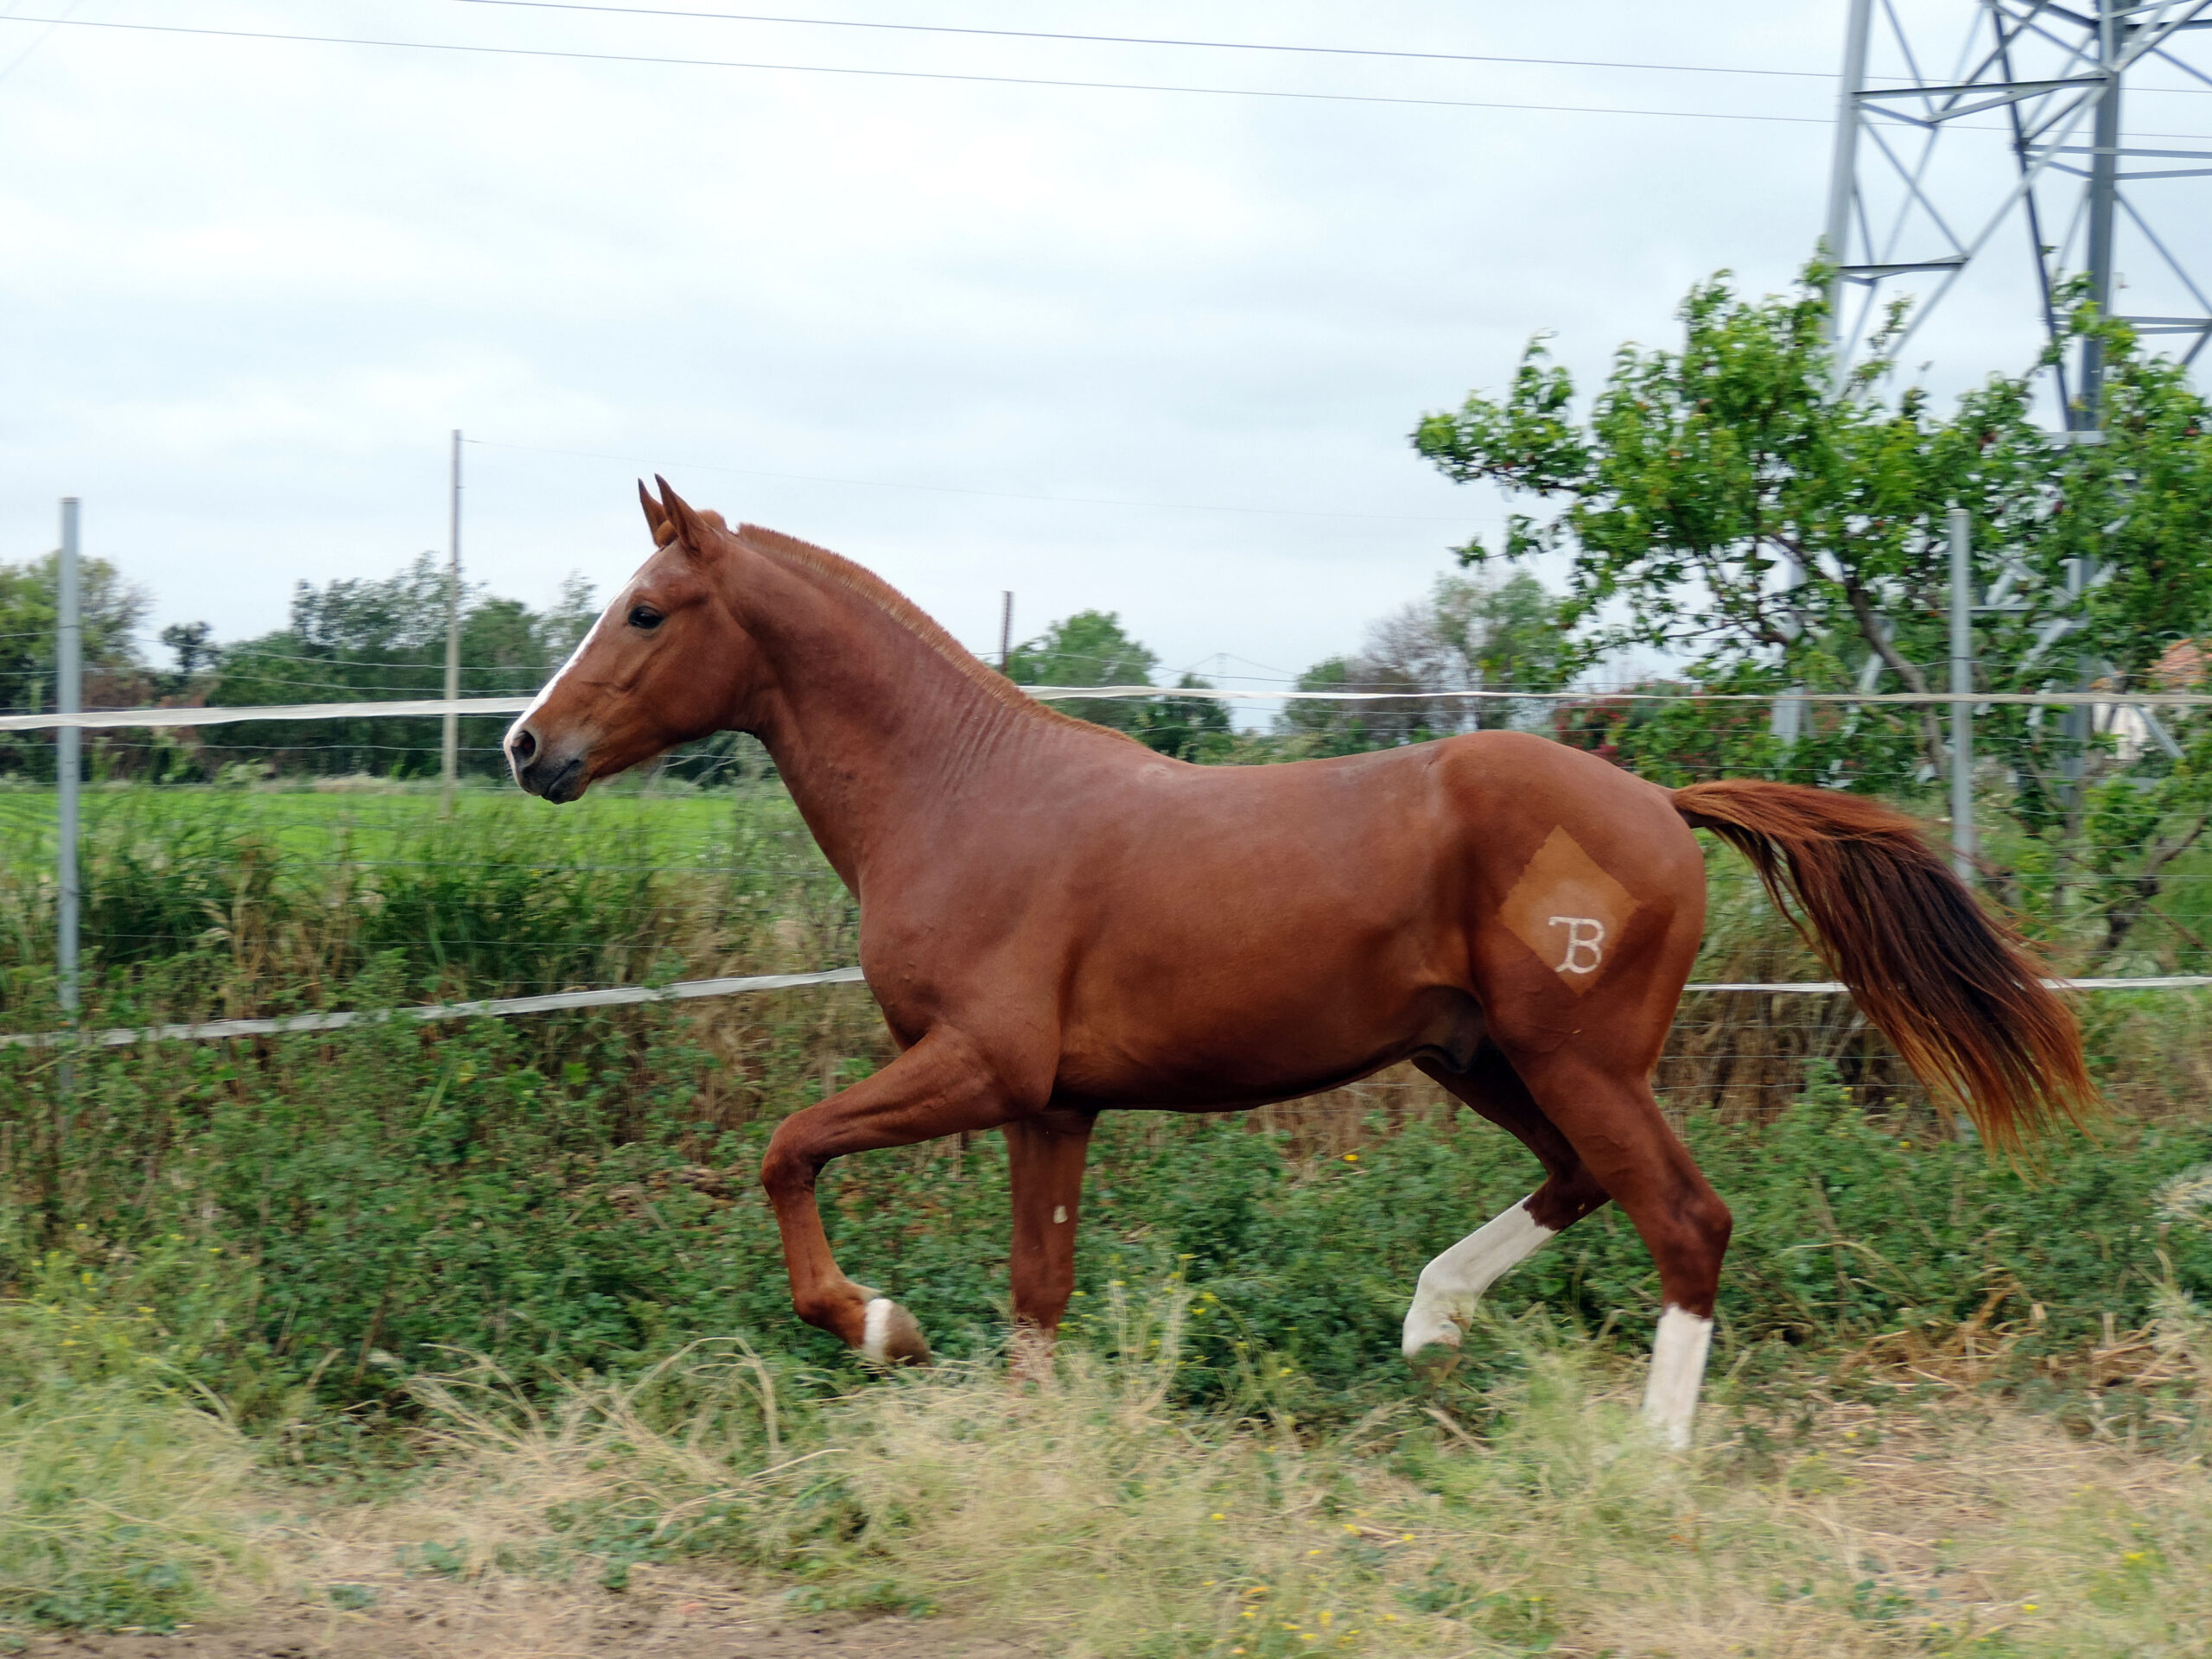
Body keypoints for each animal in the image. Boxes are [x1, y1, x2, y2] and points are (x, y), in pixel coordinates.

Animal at [506, 477, 2088, 1442]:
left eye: (647, 610)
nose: (530, 748)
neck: (960, 792)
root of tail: (1661, 800)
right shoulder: (1053, 1107)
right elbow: (1037, 1293)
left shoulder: (979, 1068)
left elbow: (788, 1149)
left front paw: (877, 1324)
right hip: (1484, 1058)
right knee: (1585, 1186)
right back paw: (1432, 1322)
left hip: (1574, 1057)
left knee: (1687, 1222)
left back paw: (1650, 1453)